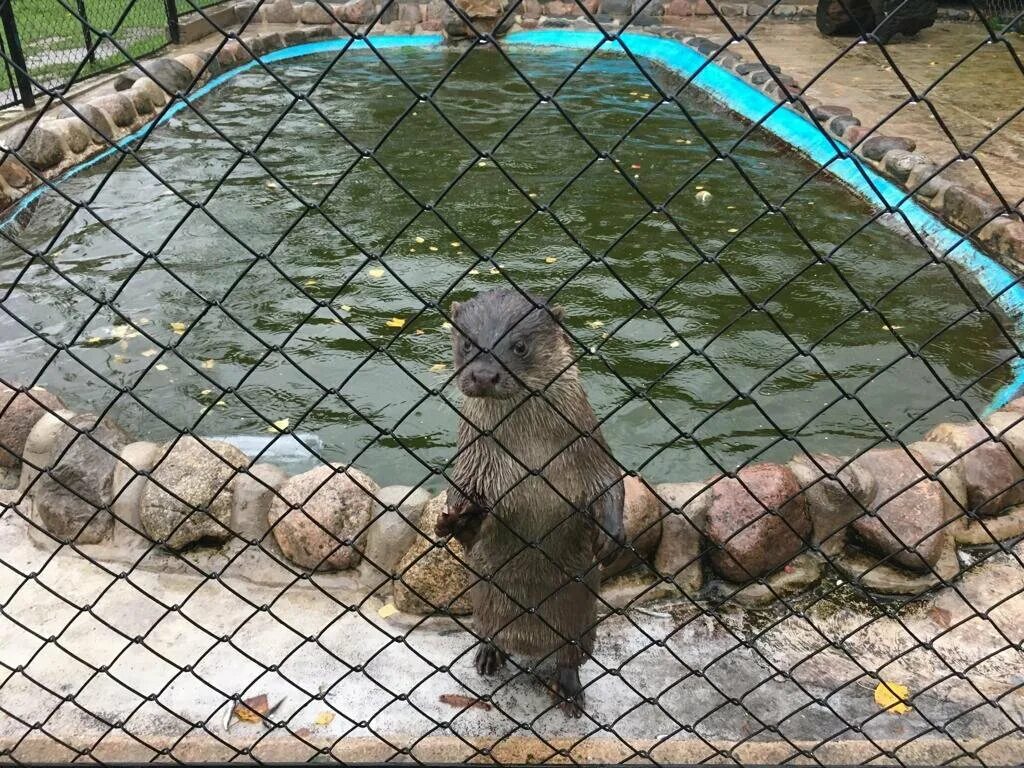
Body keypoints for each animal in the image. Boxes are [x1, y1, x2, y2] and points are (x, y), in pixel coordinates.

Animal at [434, 288, 622, 716]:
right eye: (467, 343)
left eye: (519, 345)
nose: (484, 374)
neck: (530, 457)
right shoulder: (473, 465)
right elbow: (467, 510)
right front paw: (459, 521)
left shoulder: (591, 448)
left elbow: (611, 483)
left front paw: (611, 535)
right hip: (485, 611)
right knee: (489, 634)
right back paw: (490, 656)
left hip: (583, 627)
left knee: (571, 658)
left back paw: (567, 690)